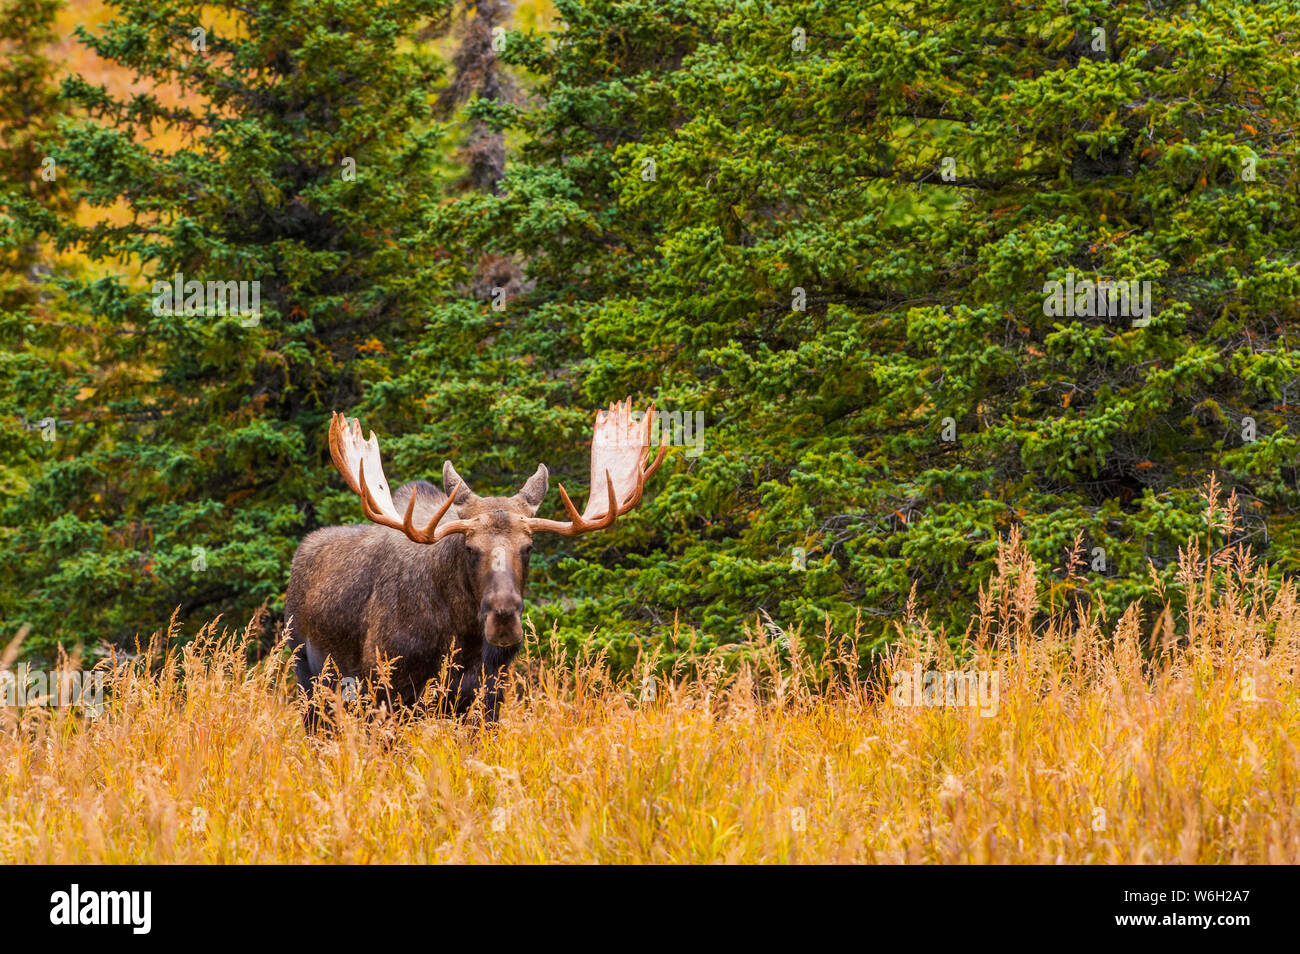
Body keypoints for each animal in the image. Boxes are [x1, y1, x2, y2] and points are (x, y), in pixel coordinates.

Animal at [288, 400, 665, 727]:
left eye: (528, 547)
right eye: (469, 548)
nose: (503, 616)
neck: (460, 640)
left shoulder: (488, 696)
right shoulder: (386, 687)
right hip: (309, 677)